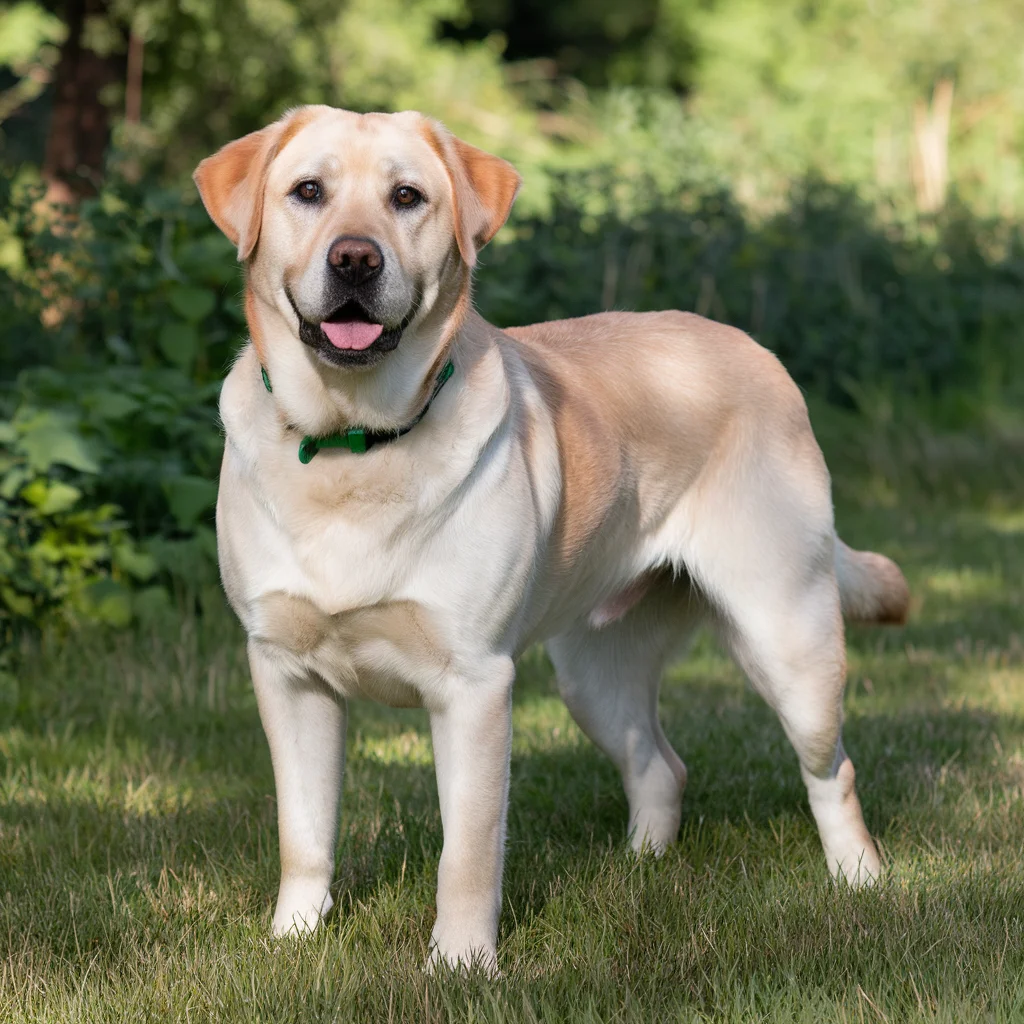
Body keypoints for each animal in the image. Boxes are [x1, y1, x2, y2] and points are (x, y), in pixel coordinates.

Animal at [193, 108, 913, 970]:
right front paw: (293, 940)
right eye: (308, 192)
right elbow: (303, 832)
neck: (354, 442)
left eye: (407, 197)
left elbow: (467, 851)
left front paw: (461, 965)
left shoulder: (474, 686)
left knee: (830, 769)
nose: (356, 259)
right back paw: (637, 870)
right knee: (661, 766)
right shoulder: (287, 675)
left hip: (788, 640)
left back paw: (859, 880)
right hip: (591, 673)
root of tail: (755, 347)